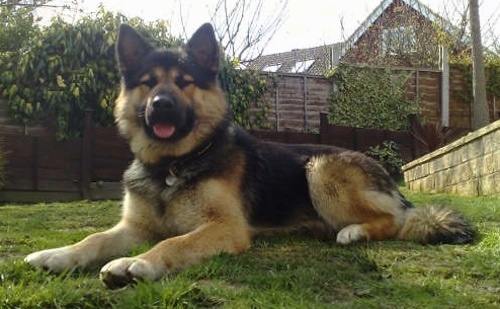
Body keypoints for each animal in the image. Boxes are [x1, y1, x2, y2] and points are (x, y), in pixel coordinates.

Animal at [25, 22, 474, 288]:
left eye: (184, 82)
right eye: (148, 83)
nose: (161, 106)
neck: (174, 164)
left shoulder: (224, 228)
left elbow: (174, 242)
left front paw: (140, 263)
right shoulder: (133, 228)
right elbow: (94, 238)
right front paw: (59, 255)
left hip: (320, 168)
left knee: (394, 220)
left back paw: (353, 231)